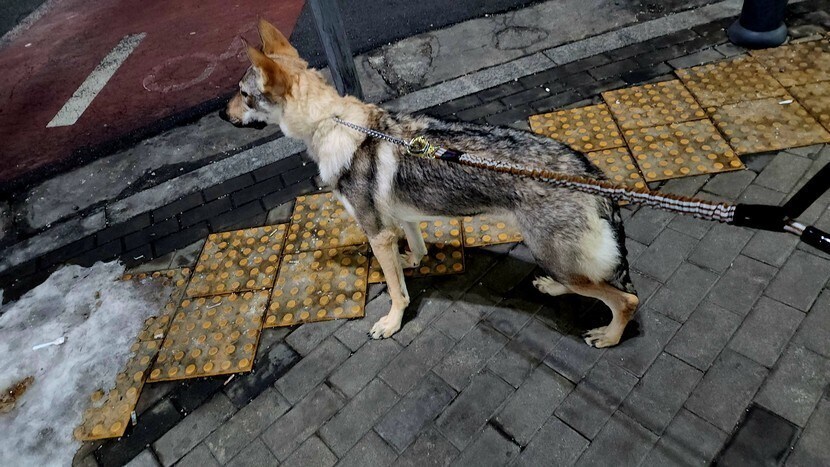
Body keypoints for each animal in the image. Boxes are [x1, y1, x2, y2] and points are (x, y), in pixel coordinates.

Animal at [221, 19, 639, 348]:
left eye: (242, 95)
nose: (224, 116)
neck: (332, 122)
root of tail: (591, 172)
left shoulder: (376, 234)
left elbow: (396, 291)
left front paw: (392, 322)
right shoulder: (400, 218)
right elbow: (413, 248)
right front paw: (413, 261)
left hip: (555, 254)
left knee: (626, 300)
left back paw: (608, 336)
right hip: (559, 258)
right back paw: (553, 287)